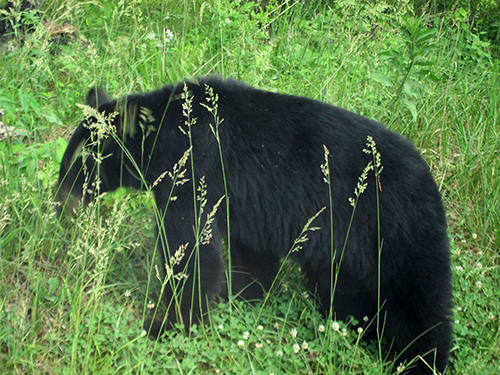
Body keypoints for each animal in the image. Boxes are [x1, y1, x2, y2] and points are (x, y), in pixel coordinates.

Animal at [55, 76, 454, 374]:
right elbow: (251, 255)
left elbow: (193, 251)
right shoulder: (246, 204)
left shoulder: (194, 169)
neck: (163, 132)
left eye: (77, 166)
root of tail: (431, 181)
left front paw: (164, 325)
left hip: (395, 229)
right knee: (346, 293)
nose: (58, 206)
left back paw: (420, 361)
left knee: (420, 303)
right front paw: (240, 297)